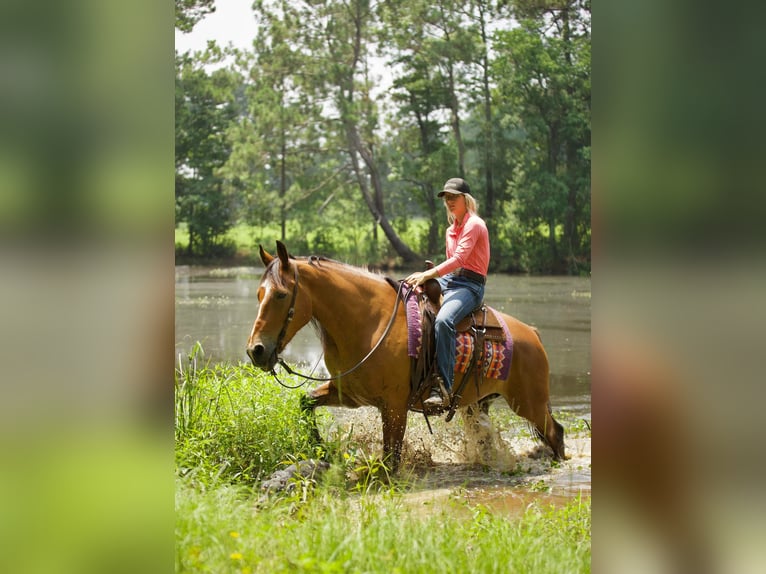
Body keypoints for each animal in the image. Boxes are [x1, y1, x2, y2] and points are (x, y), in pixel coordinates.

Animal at [249, 242, 568, 472]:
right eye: (259, 294)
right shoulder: (349, 394)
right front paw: (323, 449)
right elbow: (305, 403)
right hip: (479, 405)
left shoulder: (394, 406)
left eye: (280, 294)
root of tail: (531, 334)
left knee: (556, 433)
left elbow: (391, 456)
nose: (256, 350)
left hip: (529, 404)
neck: (370, 322)